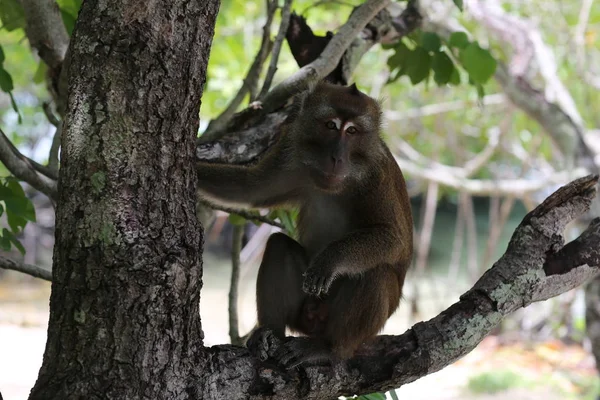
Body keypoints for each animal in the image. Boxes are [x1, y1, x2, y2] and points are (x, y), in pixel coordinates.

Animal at [197, 82, 412, 368]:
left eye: (352, 131)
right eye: (331, 125)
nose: (336, 157)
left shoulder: (378, 173)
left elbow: (392, 237)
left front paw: (331, 259)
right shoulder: (290, 148)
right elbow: (251, 188)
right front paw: (193, 169)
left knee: (376, 272)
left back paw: (329, 349)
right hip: (303, 312)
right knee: (278, 246)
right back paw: (270, 333)